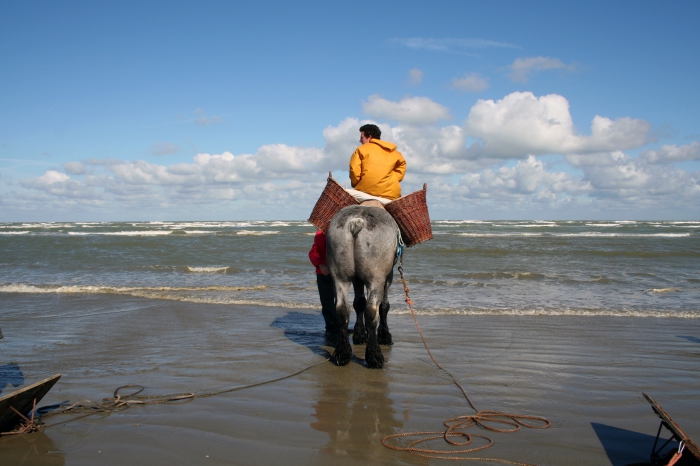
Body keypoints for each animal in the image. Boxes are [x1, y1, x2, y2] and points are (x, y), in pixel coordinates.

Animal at [326, 205, 398, 369]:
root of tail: (356, 222)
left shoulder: (357, 279)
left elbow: (358, 303)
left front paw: (359, 334)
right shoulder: (388, 276)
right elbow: (384, 306)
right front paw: (384, 335)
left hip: (340, 277)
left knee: (341, 310)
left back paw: (342, 353)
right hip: (375, 279)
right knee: (372, 311)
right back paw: (375, 356)